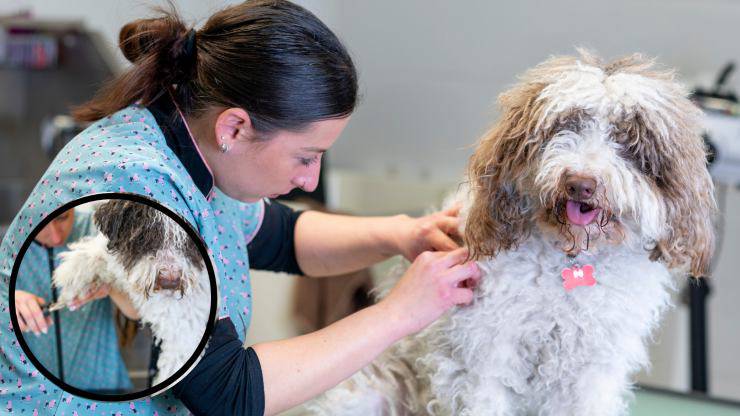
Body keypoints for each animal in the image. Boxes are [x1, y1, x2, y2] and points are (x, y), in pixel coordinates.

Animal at [49, 200, 211, 386]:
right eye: (143, 236)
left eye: (188, 242)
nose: (170, 281)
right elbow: (99, 256)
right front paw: (71, 276)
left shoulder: (187, 320)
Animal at [306, 51, 716, 416]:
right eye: (564, 127)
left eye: (626, 138)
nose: (579, 183)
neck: (569, 260)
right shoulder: (482, 356)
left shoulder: (591, 369)